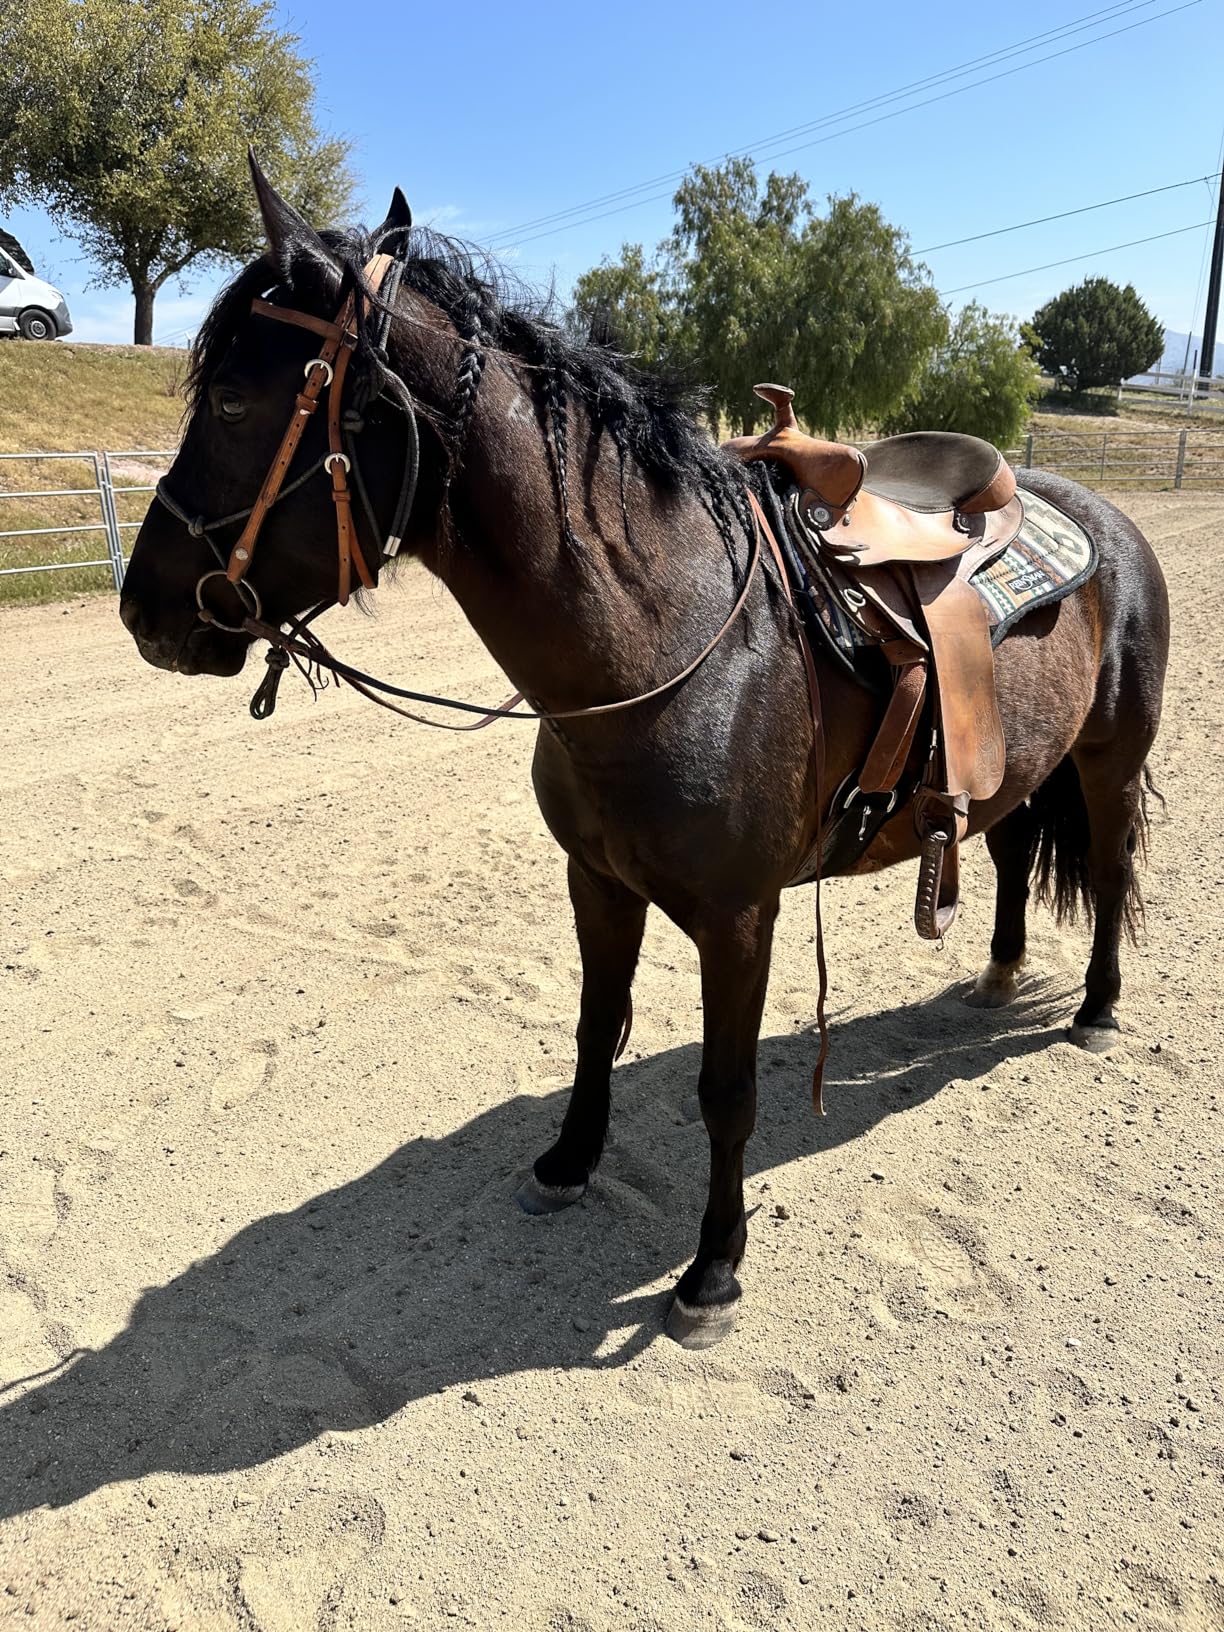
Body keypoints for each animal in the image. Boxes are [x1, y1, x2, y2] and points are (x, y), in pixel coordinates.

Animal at [119, 160, 1169, 1347]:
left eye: (235, 401)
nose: (145, 609)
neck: (669, 642)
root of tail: (1106, 520)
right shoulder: (597, 882)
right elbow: (593, 1027)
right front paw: (569, 1162)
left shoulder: (740, 919)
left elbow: (726, 1093)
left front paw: (711, 1271)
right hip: (1011, 772)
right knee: (1006, 852)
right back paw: (996, 974)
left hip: (1108, 763)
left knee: (1114, 869)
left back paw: (1095, 1011)